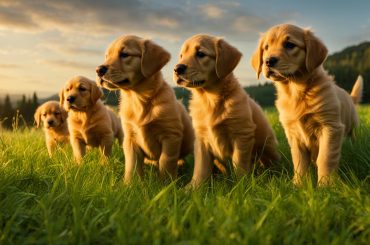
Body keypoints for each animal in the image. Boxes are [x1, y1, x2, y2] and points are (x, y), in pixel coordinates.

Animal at [95, 35, 195, 183]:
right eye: (107, 56)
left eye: (125, 54)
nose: (98, 70)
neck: (139, 99)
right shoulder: (130, 138)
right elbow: (132, 164)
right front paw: (129, 184)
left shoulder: (171, 136)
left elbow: (166, 161)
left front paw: (165, 184)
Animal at [174, 34, 280, 188]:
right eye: (181, 56)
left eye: (200, 54)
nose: (177, 68)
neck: (209, 99)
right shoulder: (201, 139)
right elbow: (201, 167)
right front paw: (193, 187)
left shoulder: (241, 134)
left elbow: (239, 163)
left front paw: (241, 185)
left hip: (268, 145)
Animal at [250, 24, 362, 186]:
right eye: (266, 47)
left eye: (289, 45)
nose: (268, 61)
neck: (295, 91)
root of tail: (349, 96)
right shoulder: (293, 134)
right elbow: (299, 161)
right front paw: (299, 184)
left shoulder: (331, 126)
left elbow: (326, 157)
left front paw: (326, 185)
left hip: (352, 126)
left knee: (353, 138)